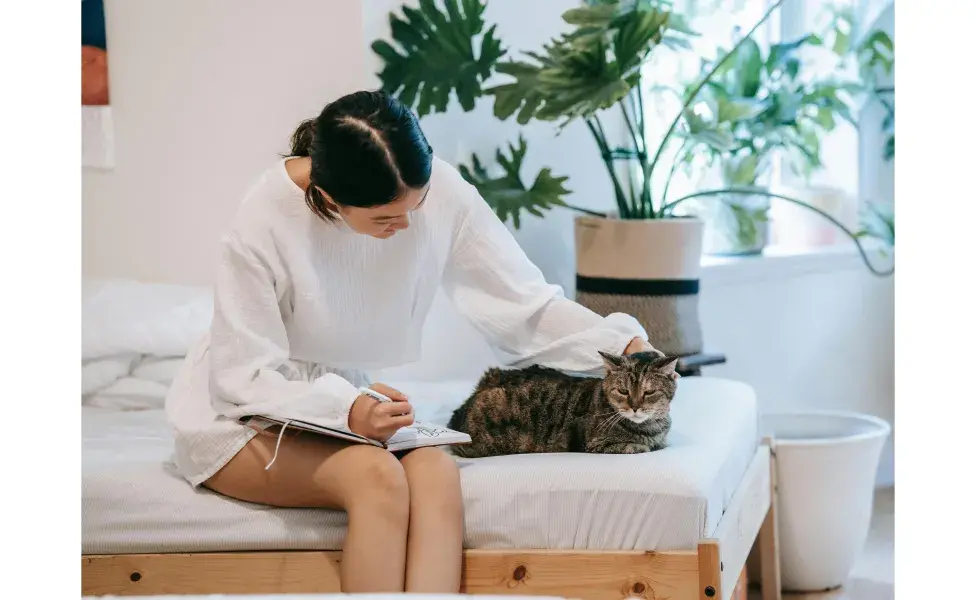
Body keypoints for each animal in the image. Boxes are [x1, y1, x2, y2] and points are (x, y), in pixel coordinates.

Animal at [450, 350, 680, 458]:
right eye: (623, 391)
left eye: (649, 392)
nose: (634, 407)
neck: (650, 428)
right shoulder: (595, 444)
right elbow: (637, 447)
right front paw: (643, 445)